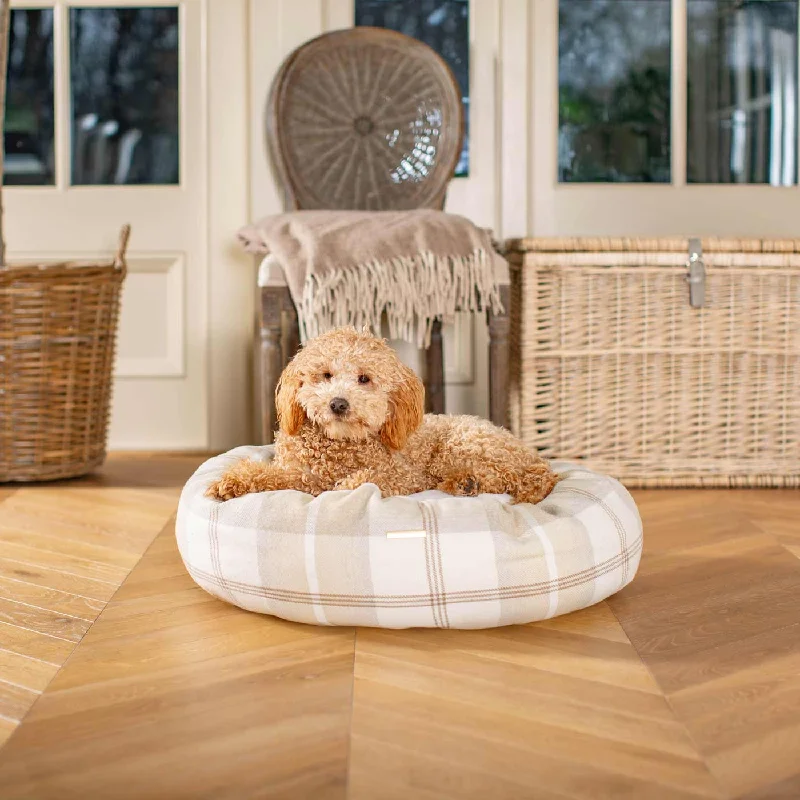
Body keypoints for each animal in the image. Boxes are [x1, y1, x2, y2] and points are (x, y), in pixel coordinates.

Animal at [206, 324, 556, 500]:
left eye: (364, 378)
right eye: (326, 375)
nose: (338, 404)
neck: (339, 445)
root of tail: (533, 457)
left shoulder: (405, 475)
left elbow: (368, 479)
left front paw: (346, 487)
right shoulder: (301, 474)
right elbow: (269, 474)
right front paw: (232, 482)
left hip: (462, 444)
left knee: (505, 478)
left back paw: (468, 483)